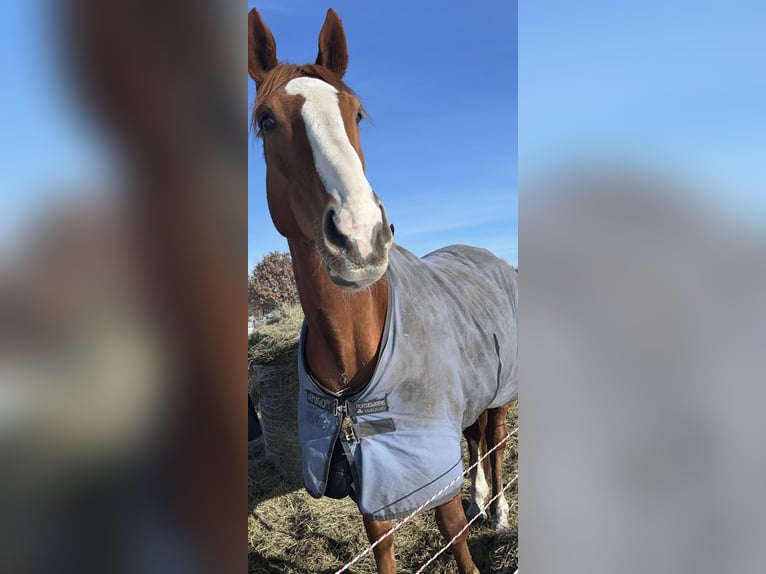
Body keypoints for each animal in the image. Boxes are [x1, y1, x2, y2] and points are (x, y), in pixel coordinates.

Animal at [248, 9, 518, 574]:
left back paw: (500, 511)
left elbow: (452, 531)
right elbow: (382, 541)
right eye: (266, 120)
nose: (359, 236)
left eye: (355, 112)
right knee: (476, 438)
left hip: (504, 393)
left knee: (497, 442)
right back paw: (482, 497)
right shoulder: (363, 471)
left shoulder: (425, 465)